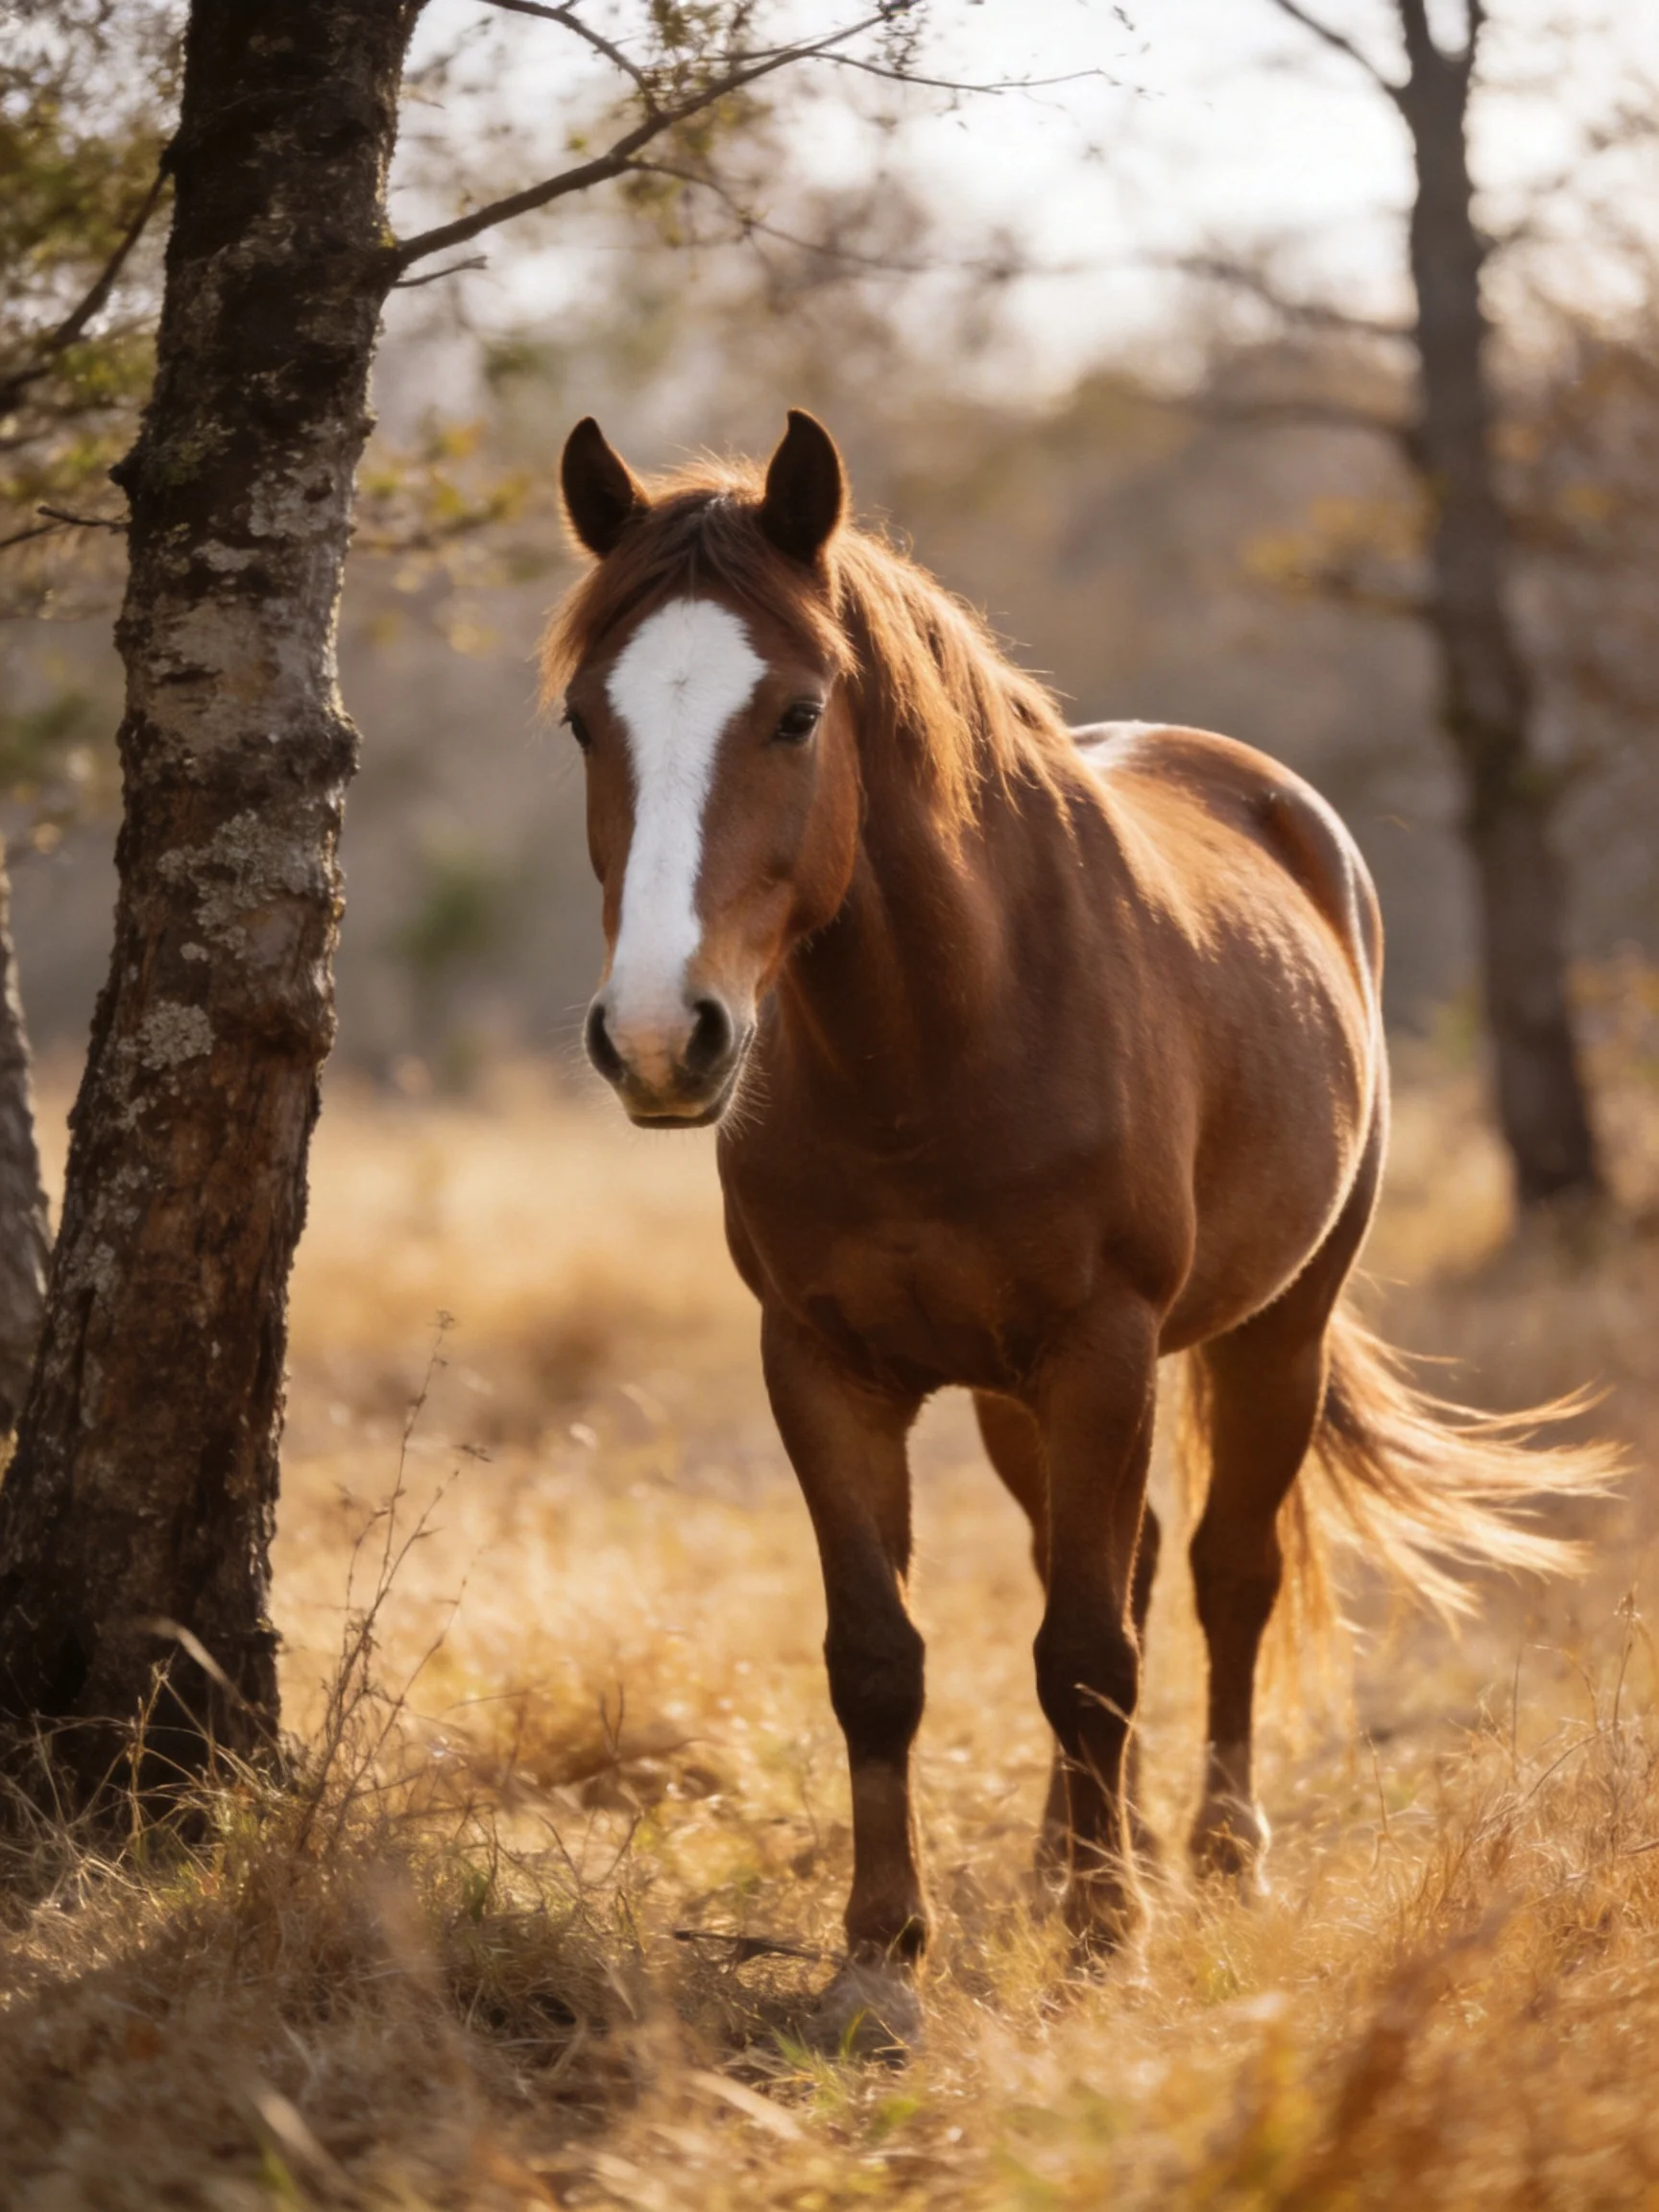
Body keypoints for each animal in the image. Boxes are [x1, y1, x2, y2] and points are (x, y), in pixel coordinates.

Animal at [543, 408, 1613, 1997]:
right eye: (584, 721)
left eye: (796, 713)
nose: (665, 1036)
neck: (940, 1041)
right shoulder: (825, 1365)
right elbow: (883, 1653)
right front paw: (882, 1946)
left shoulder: (1102, 1351)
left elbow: (1088, 1654)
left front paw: (1111, 1937)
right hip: (1013, 1396)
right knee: (1119, 1562)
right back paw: (1073, 1856)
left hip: (1273, 1335)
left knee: (1225, 1576)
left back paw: (1218, 1852)